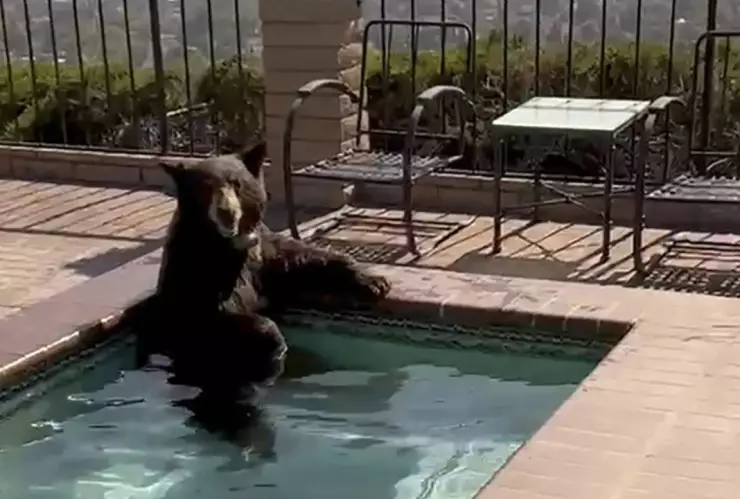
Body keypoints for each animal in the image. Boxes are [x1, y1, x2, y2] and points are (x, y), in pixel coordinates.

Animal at [141, 140, 390, 403]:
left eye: (236, 183)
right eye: (205, 188)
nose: (226, 212)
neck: (228, 245)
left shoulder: (261, 253)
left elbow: (301, 259)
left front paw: (374, 282)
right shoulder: (194, 270)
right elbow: (209, 315)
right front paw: (273, 338)